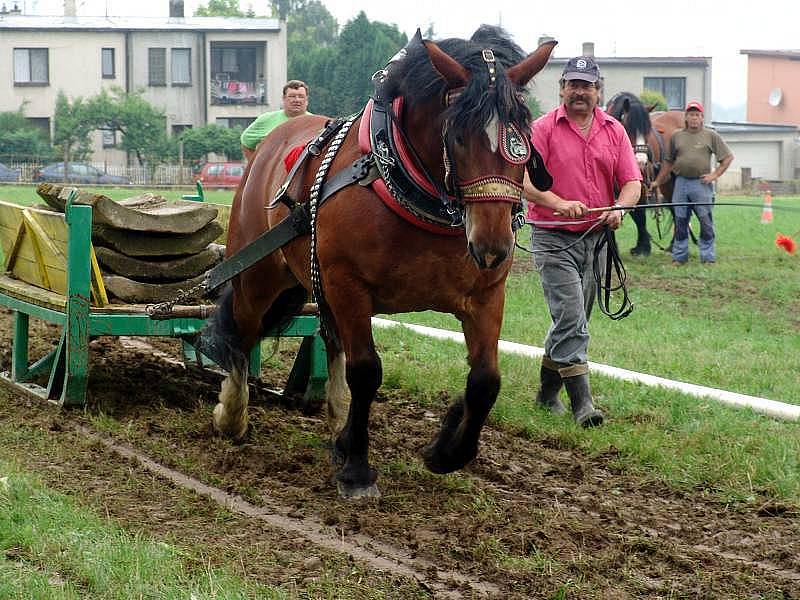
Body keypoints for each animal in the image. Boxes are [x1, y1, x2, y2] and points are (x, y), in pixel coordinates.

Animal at [200, 27, 556, 496]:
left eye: (523, 138)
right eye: (459, 136)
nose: (493, 244)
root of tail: (272, 141)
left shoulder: (485, 295)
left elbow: (485, 382)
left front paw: (445, 448)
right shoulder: (347, 284)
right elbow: (367, 371)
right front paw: (356, 467)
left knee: (328, 340)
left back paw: (337, 426)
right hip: (261, 273)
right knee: (241, 334)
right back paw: (233, 415)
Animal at [608, 91, 680, 253]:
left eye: (647, 130)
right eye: (627, 128)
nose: (640, 162)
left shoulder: (640, 184)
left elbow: (639, 214)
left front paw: (643, 247)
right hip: (667, 183)